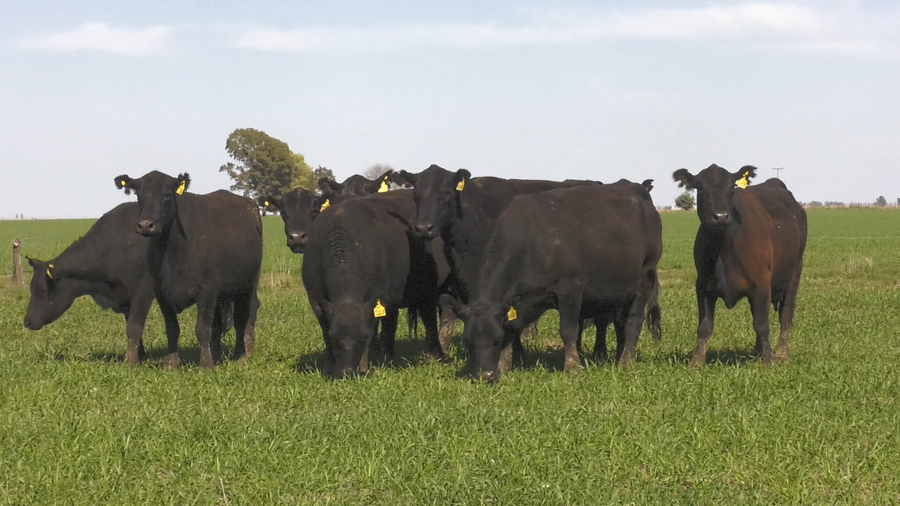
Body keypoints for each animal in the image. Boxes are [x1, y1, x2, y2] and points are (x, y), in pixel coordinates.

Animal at [22, 202, 233, 363]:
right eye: (31, 289)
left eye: (42, 290)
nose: (27, 322)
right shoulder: (124, 297)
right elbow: (131, 326)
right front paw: (139, 354)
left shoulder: (143, 291)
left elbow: (134, 326)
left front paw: (130, 360)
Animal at [114, 171, 263, 369]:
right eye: (139, 195)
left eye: (167, 195)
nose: (145, 225)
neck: (173, 253)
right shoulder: (161, 292)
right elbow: (172, 329)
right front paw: (172, 364)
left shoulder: (207, 289)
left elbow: (202, 329)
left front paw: (206, 364)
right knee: (219, 323)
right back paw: (217, 354)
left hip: (249, 283)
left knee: (245, 315)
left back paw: (243, 353)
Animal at [302, 189, 439, 379]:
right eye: (336, 338)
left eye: (362, 338)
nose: (346, 372)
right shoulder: (315, 300)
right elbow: (325, 333)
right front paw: (328, 366)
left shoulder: (383, 299)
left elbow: (381, 332)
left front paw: (368, 364)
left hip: (425, 292)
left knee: (427, 319)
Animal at [439, 179, 662, 381]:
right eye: (468, 343)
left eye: (496, 339)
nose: (485, 376)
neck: (531, 243)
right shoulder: (516, 302)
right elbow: (513, 329)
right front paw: (504, 365)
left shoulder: (570, 288)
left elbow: (568, 330)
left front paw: (572, 368)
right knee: (619, 322)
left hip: (645, 278)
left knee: (634, 320)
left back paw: (626, 360)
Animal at [672, 164, 807, 366]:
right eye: (701, 188)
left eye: (732, 188)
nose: (721, 216)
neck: (723, 248)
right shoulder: (703, 285)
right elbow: (704, 326)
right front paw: (697, 361)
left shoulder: (761, 283)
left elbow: (762, 323)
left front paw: (769, 360)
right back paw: (759, 351)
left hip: (794, 272)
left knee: (786, 314)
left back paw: (782, 353)